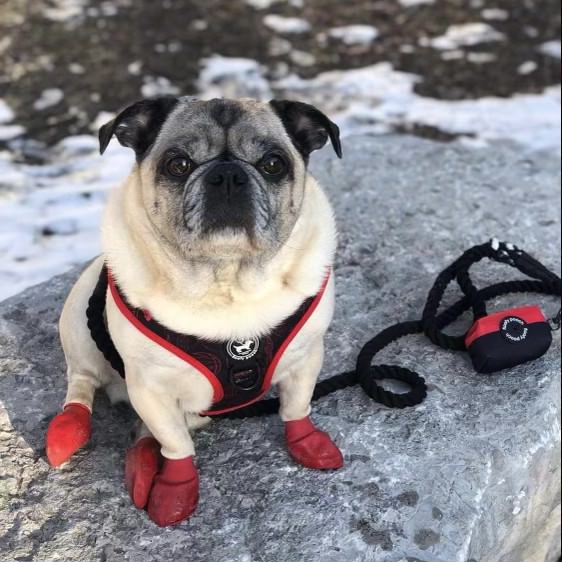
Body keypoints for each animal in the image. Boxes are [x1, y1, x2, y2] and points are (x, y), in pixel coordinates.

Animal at [44, 97, 342, 524]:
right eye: (178, 164)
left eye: (273, 163)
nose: (228, 174)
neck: (226, 279)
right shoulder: (150, 389)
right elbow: (176, 444)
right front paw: (175, 488)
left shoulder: (306, 358)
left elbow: (296, 406)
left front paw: (307, 442)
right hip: (77, 329)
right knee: (82, 383)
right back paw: (69, 430)